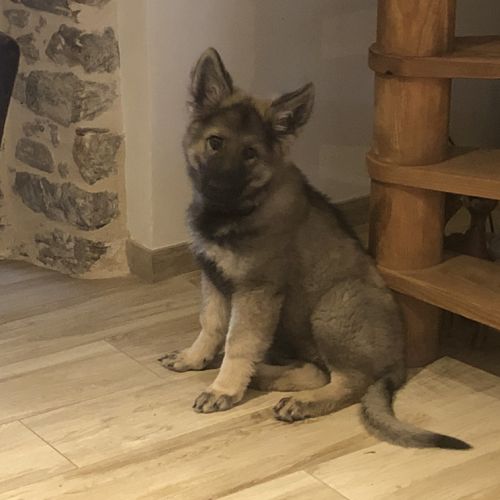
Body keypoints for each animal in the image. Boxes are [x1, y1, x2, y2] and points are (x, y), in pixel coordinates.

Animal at [159, 48, 470, 450]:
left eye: (250, 154)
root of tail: (398, 366)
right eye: (215, 142)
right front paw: (195, 358)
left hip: (331, 306)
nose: (218, 187)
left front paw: (223, 388)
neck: (243, 209)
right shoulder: (213, 278)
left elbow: (239, 341)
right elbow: (211, 324)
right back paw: (264, 376)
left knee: (347, 381)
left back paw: (301, 401)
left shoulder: (256, 291)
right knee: (315, 370)